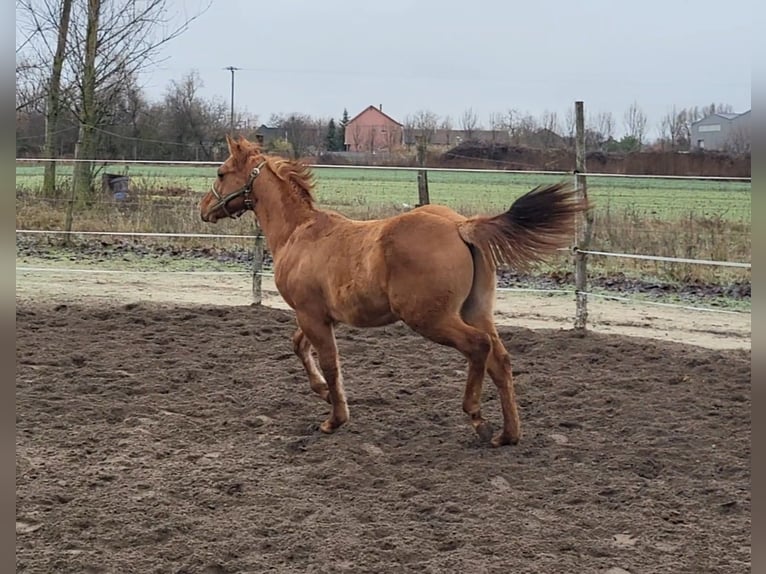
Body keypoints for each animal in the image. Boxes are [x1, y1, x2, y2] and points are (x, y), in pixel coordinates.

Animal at [199, 135, 590, 447]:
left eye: (221, 173)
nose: (204, 209)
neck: (300, 232)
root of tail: (461, 226)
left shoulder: (311, 315)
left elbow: (330, 363)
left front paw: (334, 419)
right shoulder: (320, 316)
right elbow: (299, 347)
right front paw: (323, 394)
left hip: (429, 318)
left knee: (478, 347)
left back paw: (477, 417)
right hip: (476, 309)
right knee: (501, 360)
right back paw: (508, 434)